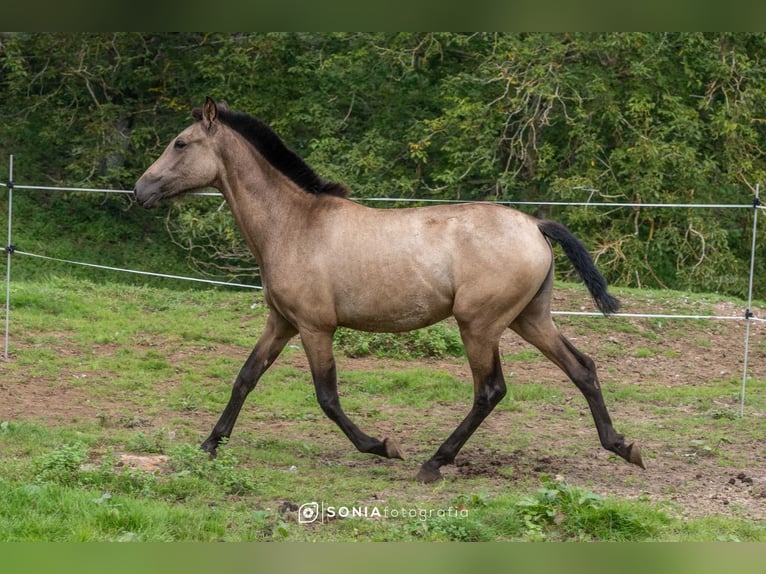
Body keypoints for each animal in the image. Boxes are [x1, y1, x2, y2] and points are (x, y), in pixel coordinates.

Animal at [135, 97, 644, 484]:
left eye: (181, 143)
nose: (140, 191)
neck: (294, 225)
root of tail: (535, 225)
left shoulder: (315, 327)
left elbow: (327, 397)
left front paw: (382, 446)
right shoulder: (281, 322)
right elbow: (245, 377)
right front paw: (209, 444)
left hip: (479, 325)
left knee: (490, 390)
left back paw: (433, 463)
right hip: (529, 319)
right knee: (583, 368)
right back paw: (623, 446)